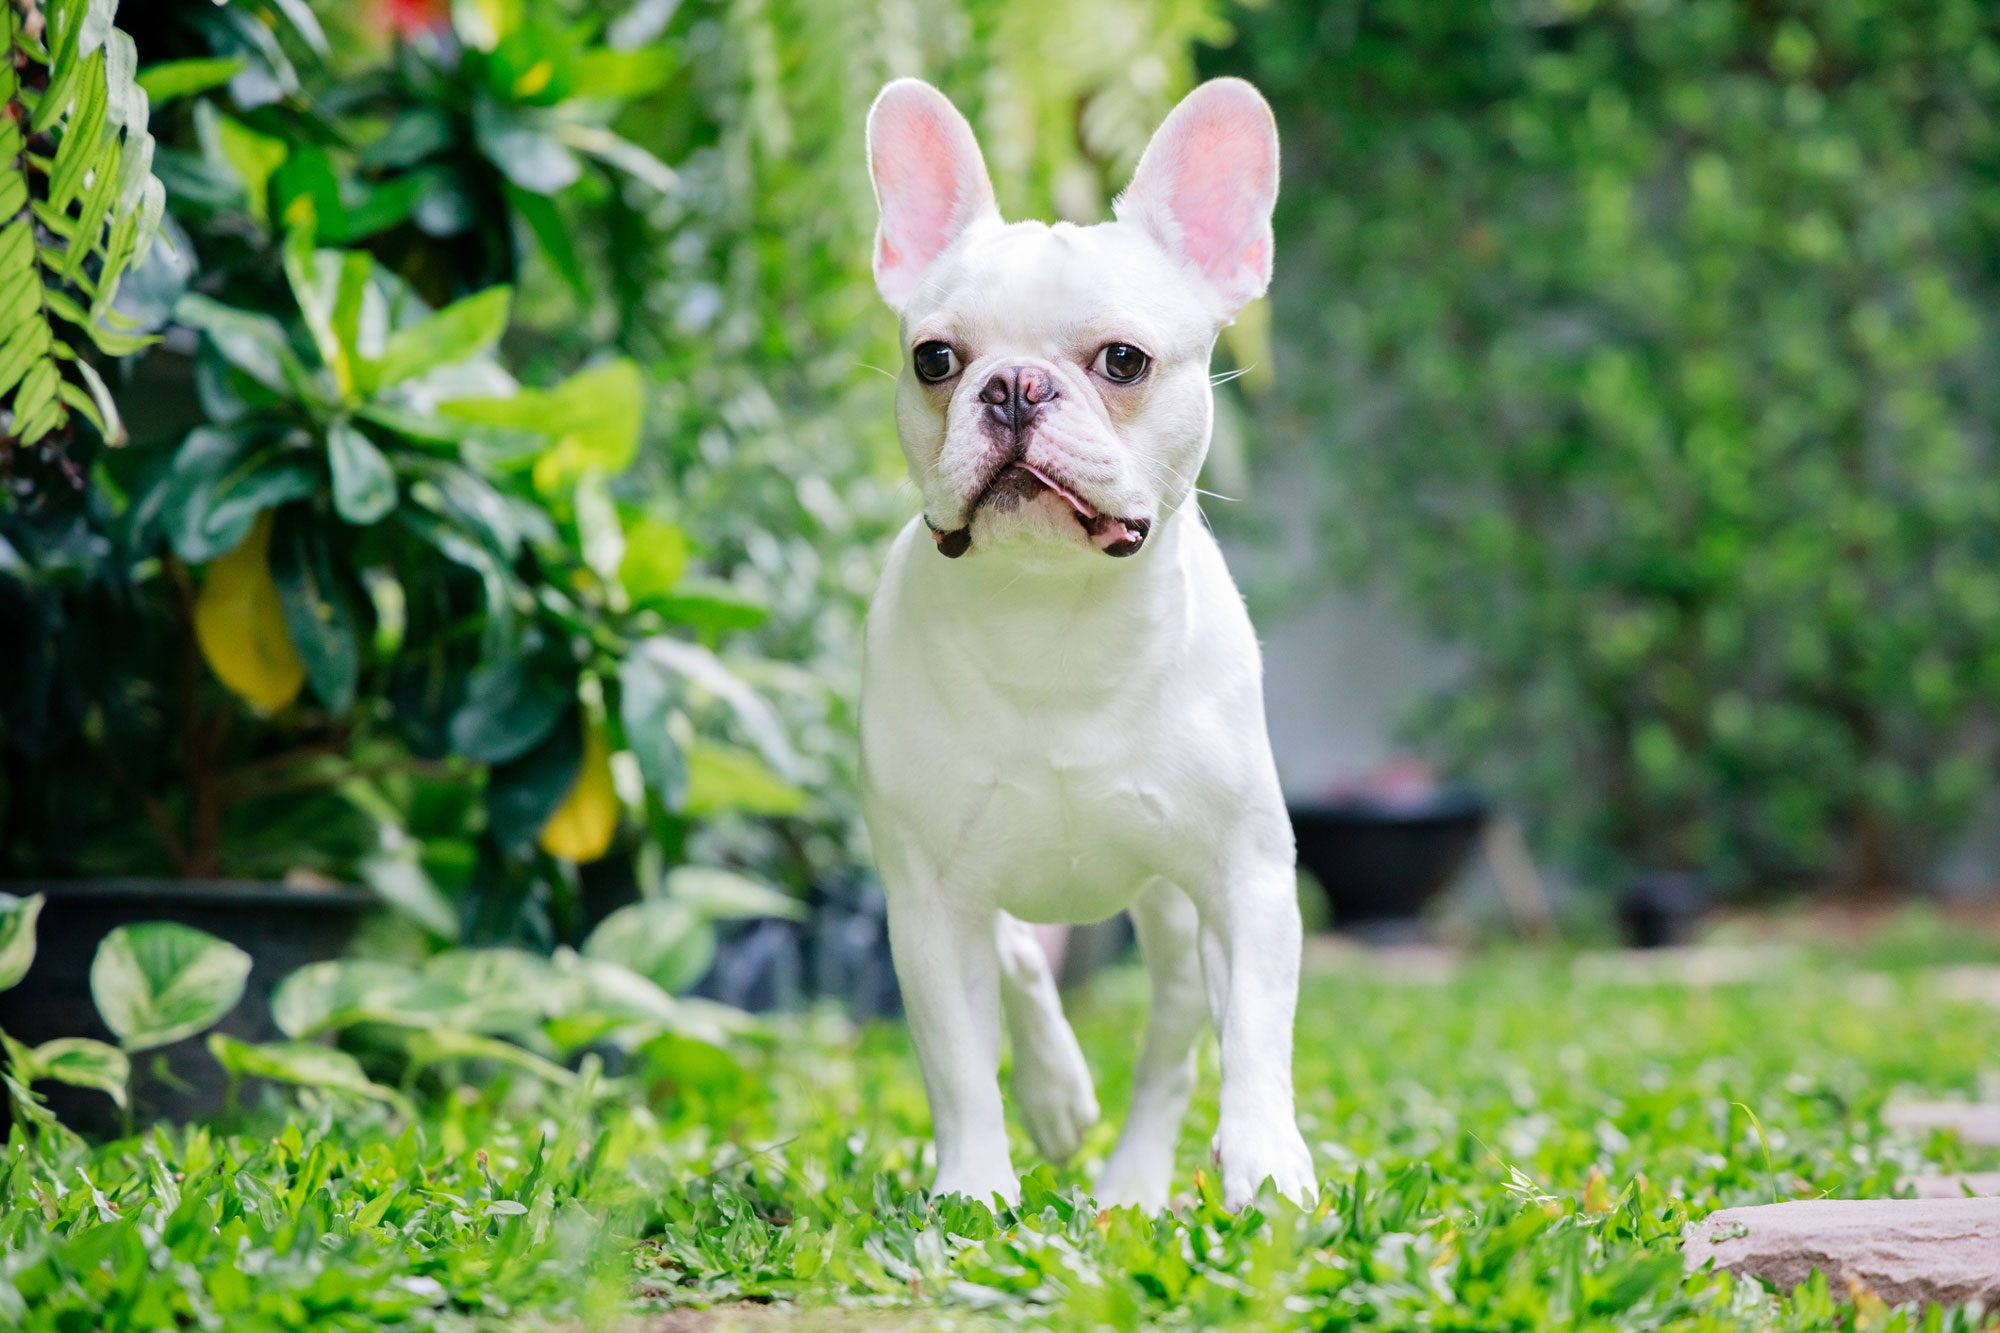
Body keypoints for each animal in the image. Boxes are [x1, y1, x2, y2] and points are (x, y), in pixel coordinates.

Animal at [856, 78, 1312, 1208]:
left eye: (1122, 361)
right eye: (935, 359)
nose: (1014, 386)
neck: (1051, 618)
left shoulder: (1243, 875)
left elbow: (1255, 1032)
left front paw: (1267, 1159)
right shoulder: (927, 900)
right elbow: (957, 1062)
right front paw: (973, 1186)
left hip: (1170, 917)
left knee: (1172, 1044)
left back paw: (1133, 1183)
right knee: (1021, 960)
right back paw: (1059, 1096)